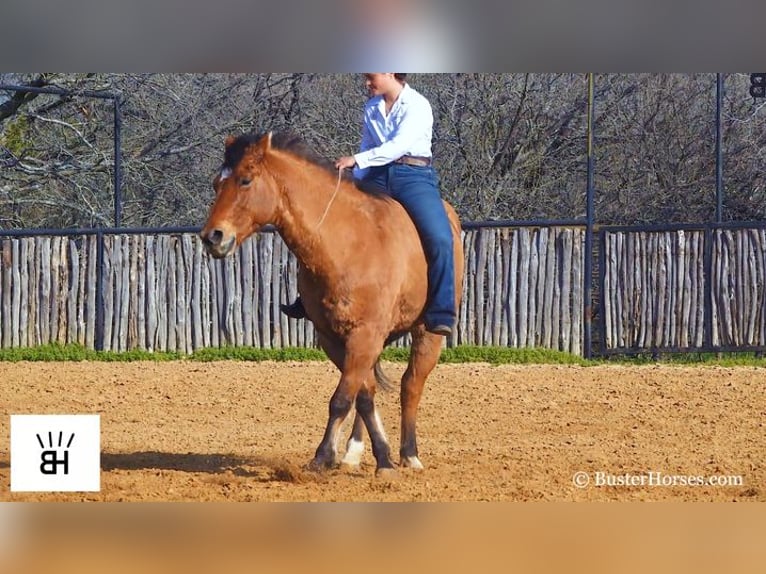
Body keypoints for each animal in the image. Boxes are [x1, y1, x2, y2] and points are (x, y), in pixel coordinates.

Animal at [198, 133, 464, 480]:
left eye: (245, 179)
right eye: (217, 183)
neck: (345, 243)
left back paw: (410, 454)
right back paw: (354, 452)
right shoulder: (335, 339)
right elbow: (361, 396)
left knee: (411, 386)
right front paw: (377, 456)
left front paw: (324, 457)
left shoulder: (365, 336)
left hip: (427, 334)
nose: (212, 237)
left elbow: (341, 399)